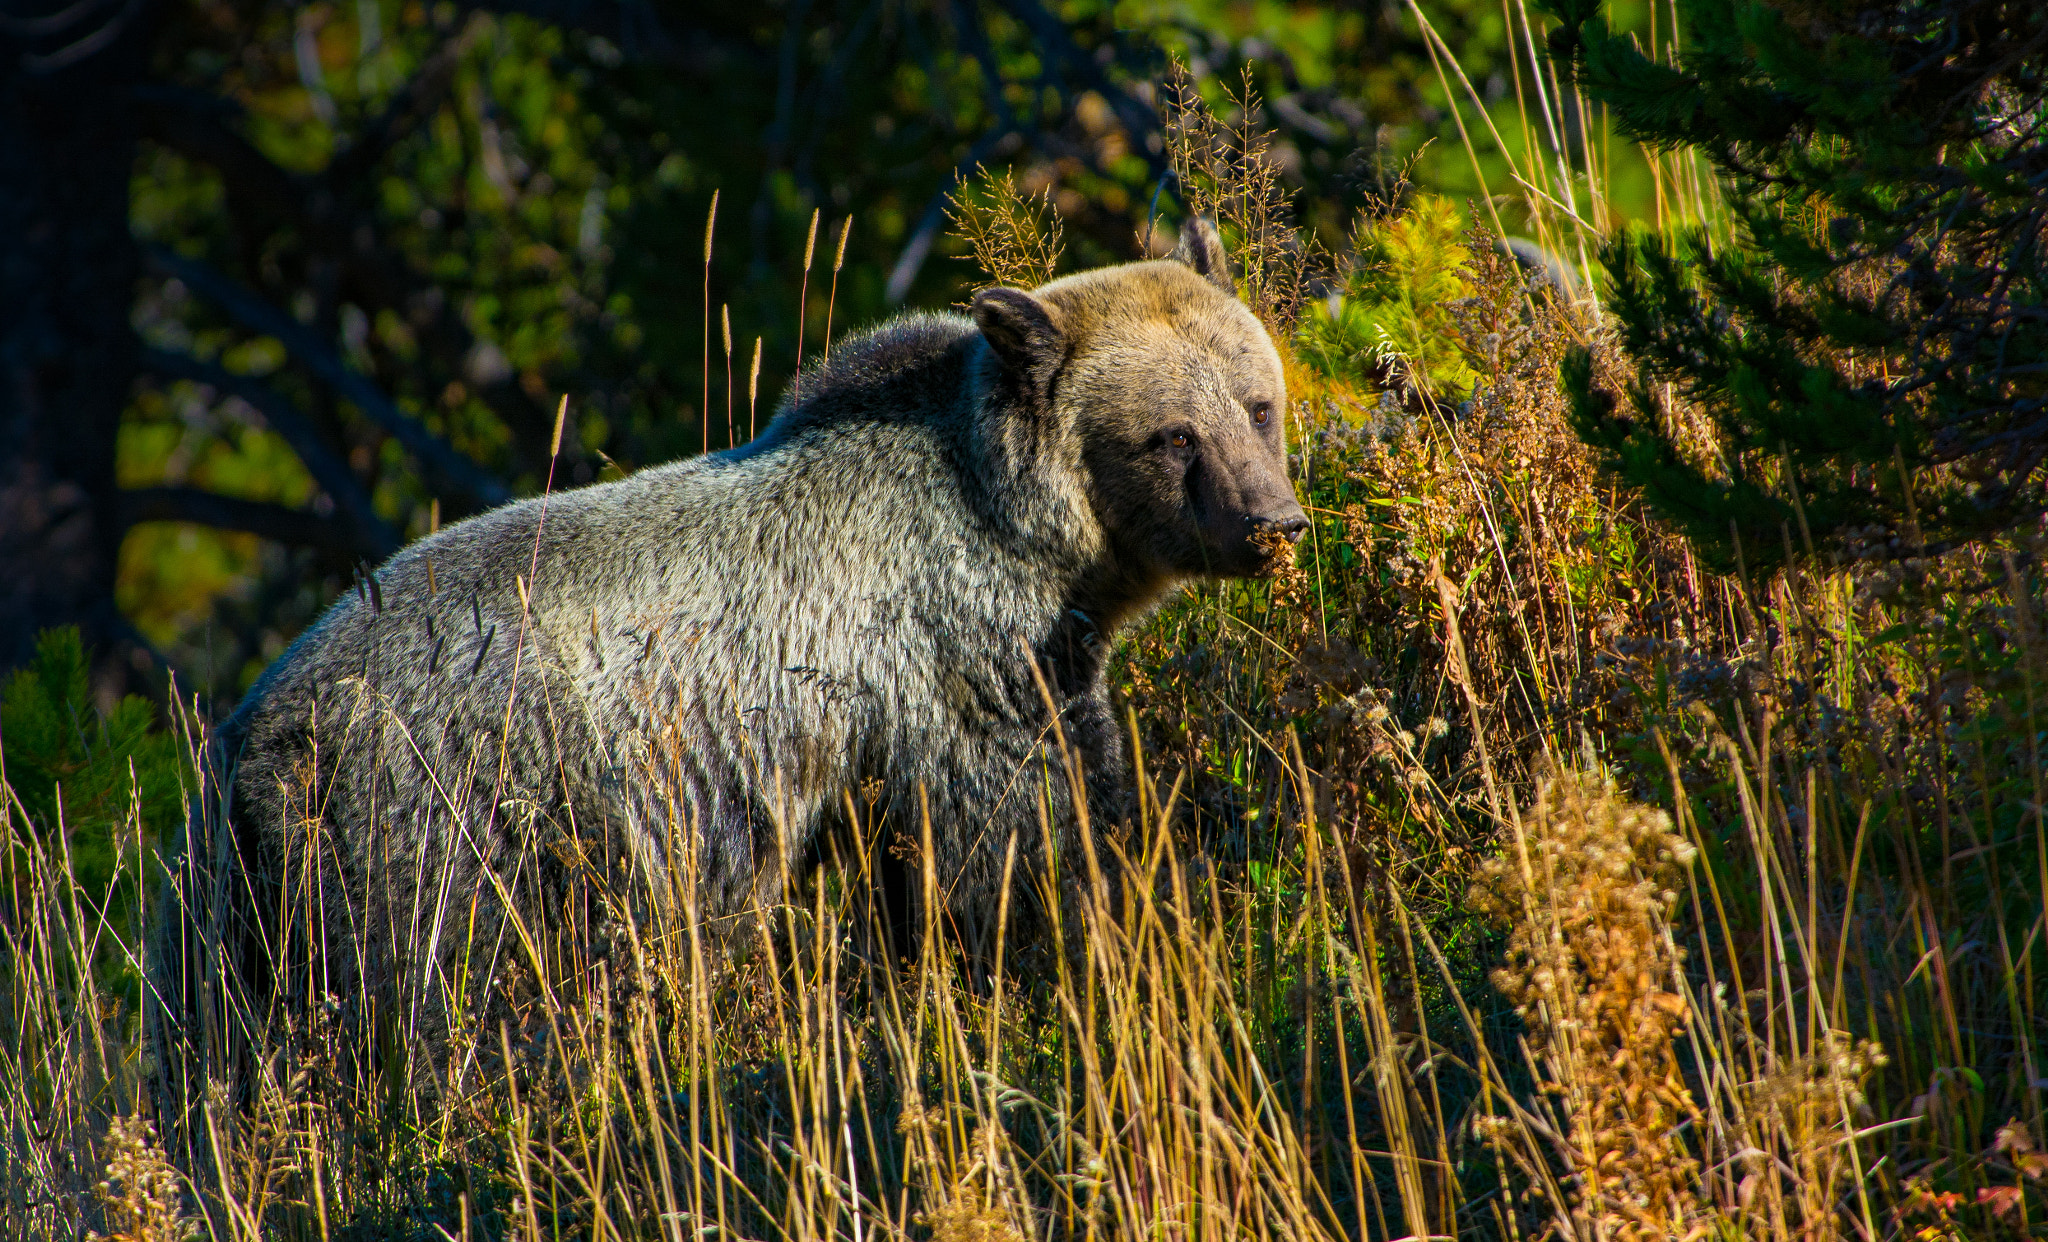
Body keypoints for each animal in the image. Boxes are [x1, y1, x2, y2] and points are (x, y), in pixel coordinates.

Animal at [154, 219, 1305, 1109]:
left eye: (1257, 403)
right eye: (1171, 435)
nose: (1271, 523)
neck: (1033, 544)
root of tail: (258, 738)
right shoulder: (960, 666)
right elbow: (1018, 845)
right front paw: (1087, 949)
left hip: (236, 901)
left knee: (223, 1047)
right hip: (443, 822)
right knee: (435, 996)